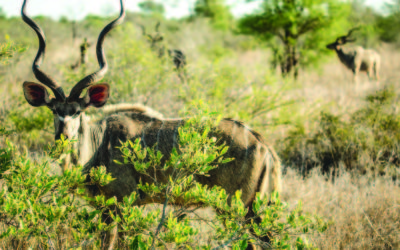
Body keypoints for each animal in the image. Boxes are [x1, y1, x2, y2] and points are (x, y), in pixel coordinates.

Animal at [21, 0, 282, 249]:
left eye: (77, 112)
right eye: (54, 110)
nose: (63, 138)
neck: (98, 144)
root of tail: (263, 145)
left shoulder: (119, 204)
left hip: (234, 208)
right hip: (253, 210)